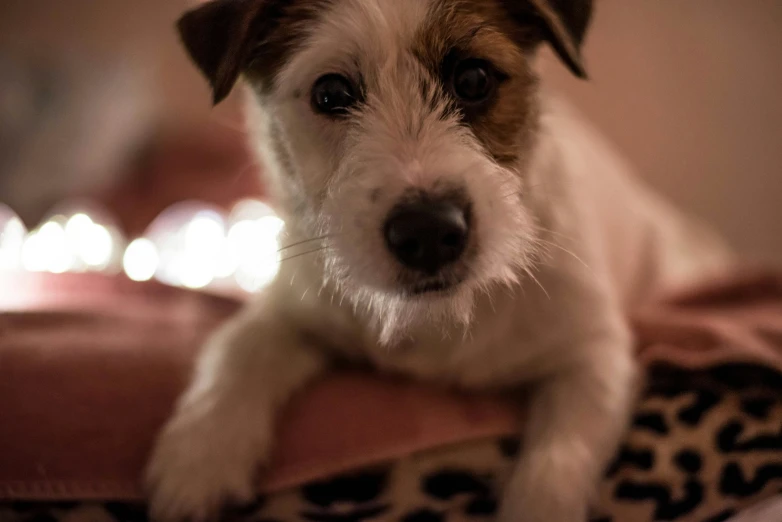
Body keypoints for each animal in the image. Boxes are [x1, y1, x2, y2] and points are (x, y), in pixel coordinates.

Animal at [147, 2, 736, 516]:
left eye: (474, 80)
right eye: (331, 93)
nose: (429, 232)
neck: (444, 319)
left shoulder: (594, 353)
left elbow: (558, 458)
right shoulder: (295, 309)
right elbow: (238, 348)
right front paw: (197, 460)